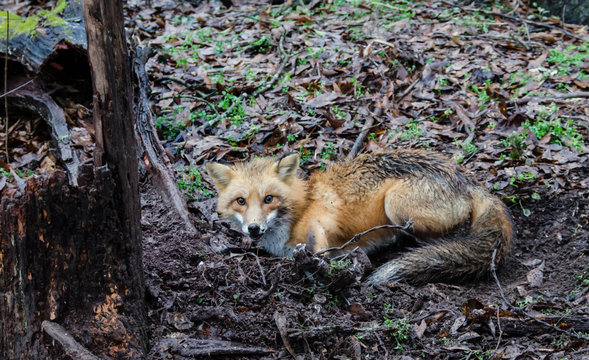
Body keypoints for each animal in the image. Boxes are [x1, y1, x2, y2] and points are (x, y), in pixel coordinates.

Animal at [206, 149, 510, 284]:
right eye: (241, 201)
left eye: (269, 199)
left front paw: (321, 270)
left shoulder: (323, 221)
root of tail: (465, 176)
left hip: (396, 204)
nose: (254, 229)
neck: (301, 206)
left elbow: (319, 246)